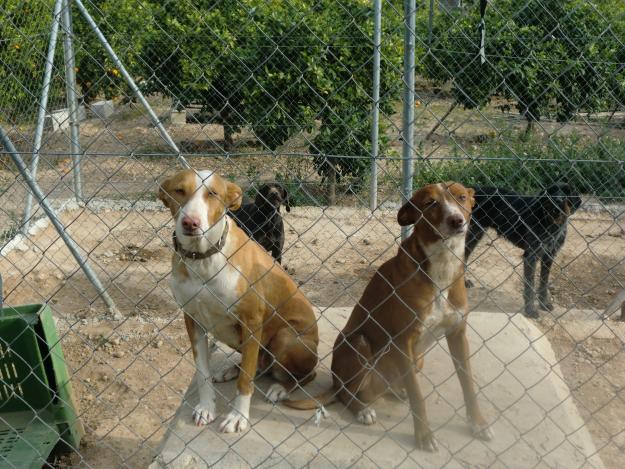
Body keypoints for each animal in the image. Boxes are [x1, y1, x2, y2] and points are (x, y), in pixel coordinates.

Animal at [158, 170, 320, 434]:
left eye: (213, 193)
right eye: (179, 190)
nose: (191, 223)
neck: (204, 260)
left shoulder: (252, 322)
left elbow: (246, 382)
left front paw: (237, 416)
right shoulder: (193, 320)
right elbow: (202, 372)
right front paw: (206, 407)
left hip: (286, 337)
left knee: (304, 375)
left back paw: (281, 388)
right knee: (257, 365)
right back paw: (231, 370)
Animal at [284, 182, 492, 450]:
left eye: (462, 197)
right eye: (430, 203)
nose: (457, 220)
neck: (442, 266)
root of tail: (336, 381)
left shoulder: (457, 333)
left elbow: (468, 386)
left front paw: (478, 423)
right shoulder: (403, 341)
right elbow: (418, 397)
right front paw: (424, 436)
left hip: (416, 360)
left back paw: (395, 391)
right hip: (359, 344)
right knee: (345, 393)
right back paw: (362, 410)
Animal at [464, 183, 580, 318]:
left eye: (567, 192)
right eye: (552, 191)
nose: (557, 200)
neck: (550, 223)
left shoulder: (549, 256)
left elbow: (544, 282)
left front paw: (544, 303)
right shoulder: (531, 256)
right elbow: (530, 285)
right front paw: (530, 310)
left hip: (475, 235)